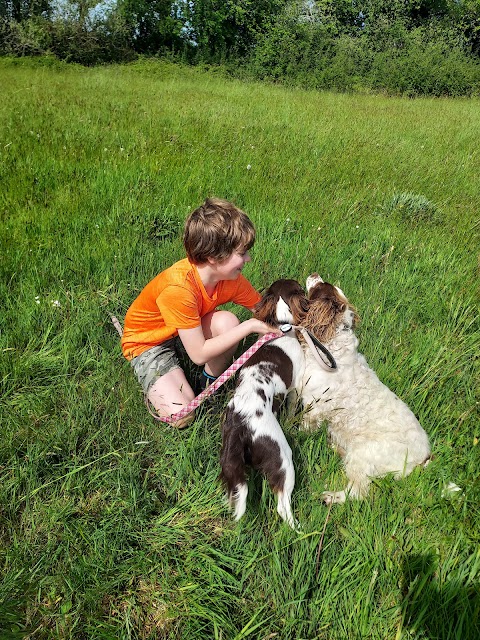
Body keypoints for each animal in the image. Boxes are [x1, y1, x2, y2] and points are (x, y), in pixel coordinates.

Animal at [220, 280, 310, 528]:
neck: (281, 330)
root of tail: (240, 423)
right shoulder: (295, 387)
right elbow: (292, 407)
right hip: (282, 457)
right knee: (282, 505)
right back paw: (300, 528)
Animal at [300, 276, 432, 504]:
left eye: (321, 287)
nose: (314, 275)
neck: (333, 346)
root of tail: (422, 459)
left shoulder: (314, 407)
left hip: (363, 454)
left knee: (357, 491)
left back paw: (330, 497)